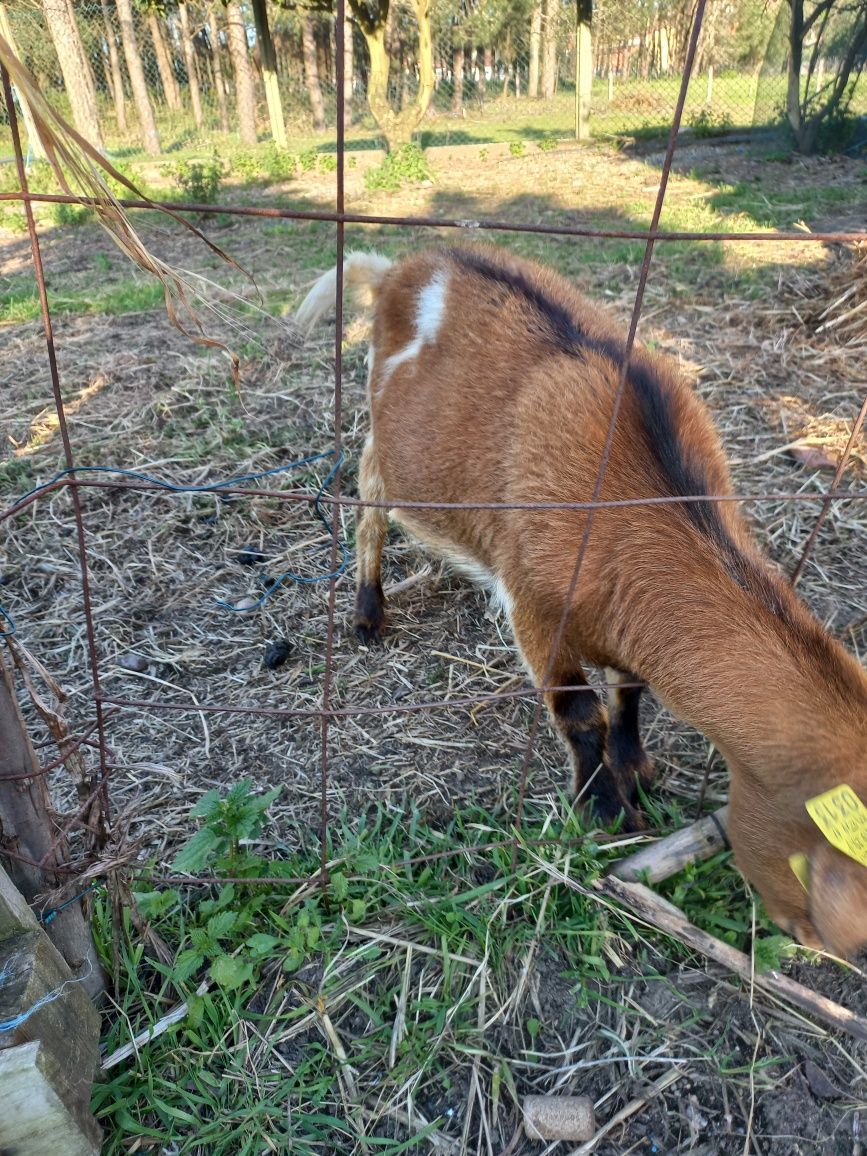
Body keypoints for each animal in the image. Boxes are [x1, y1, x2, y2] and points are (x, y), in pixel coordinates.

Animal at [298, 243, 867, 957]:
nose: (808, 943)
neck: (638, 502)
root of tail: (402, 267)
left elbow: (628, 693)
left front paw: (639, 772)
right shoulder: (536, 610)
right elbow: (579, 712)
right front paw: (604, 810)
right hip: (382, 432)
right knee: (371, 504)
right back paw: (369, 612)